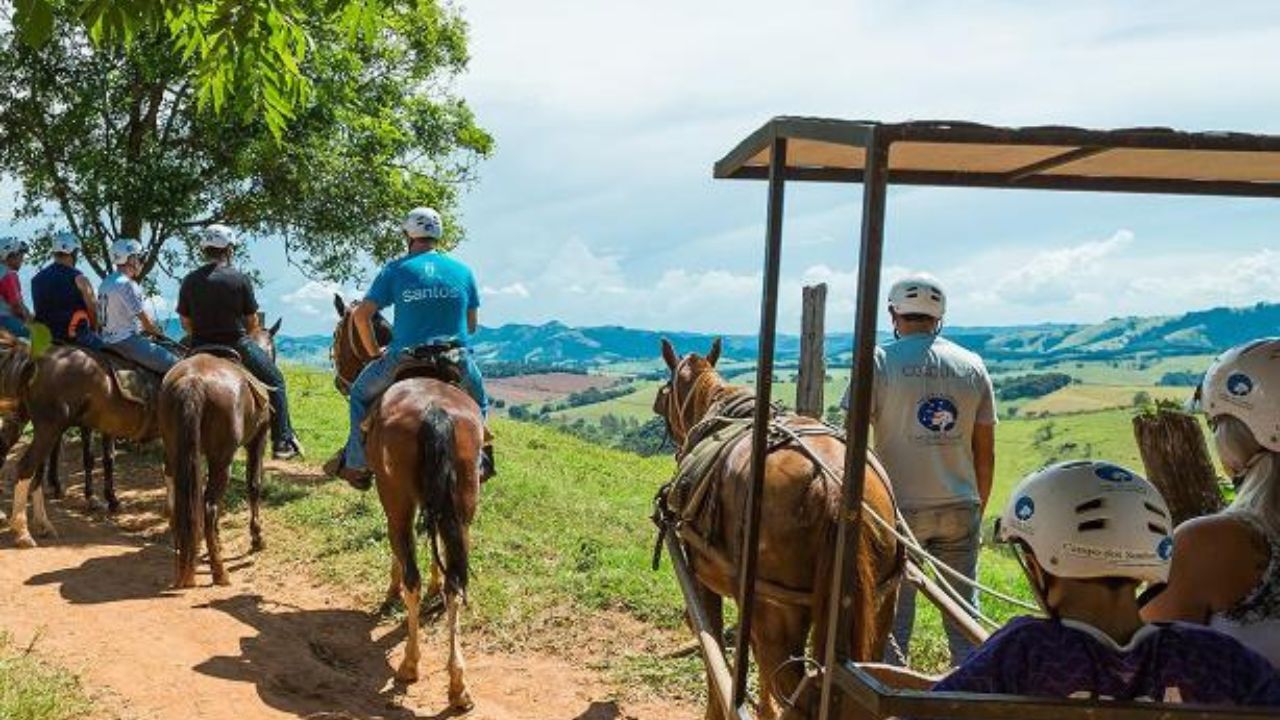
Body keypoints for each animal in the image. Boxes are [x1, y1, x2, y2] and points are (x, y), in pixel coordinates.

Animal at [160, 324, 280, 584]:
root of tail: (193, 380)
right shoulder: (258, 440)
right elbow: (254, 485)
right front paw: (257, 537)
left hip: (176, 452)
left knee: (180, 503)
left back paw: (184, 560)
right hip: (222, 460)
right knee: (210, 507)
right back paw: (219, 571)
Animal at [332, 297, 481, 707]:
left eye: (336, 336)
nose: (338, 380)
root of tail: (435, 411)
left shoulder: (396, 500)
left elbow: (400, 551)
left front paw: (390, 593)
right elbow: (433, 545)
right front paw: (434, 584)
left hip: (396, 498)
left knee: (409, 566)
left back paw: (410, 664)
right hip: (463, 505)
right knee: (456, 581)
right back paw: (458, 684)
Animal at [660, 338, 901, 717]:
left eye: (666, 391)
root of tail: (835, 488)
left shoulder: (704, 581)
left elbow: (713, 648)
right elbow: (751, 655)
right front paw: (761, 709)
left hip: (778, 611)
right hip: (880, 603)